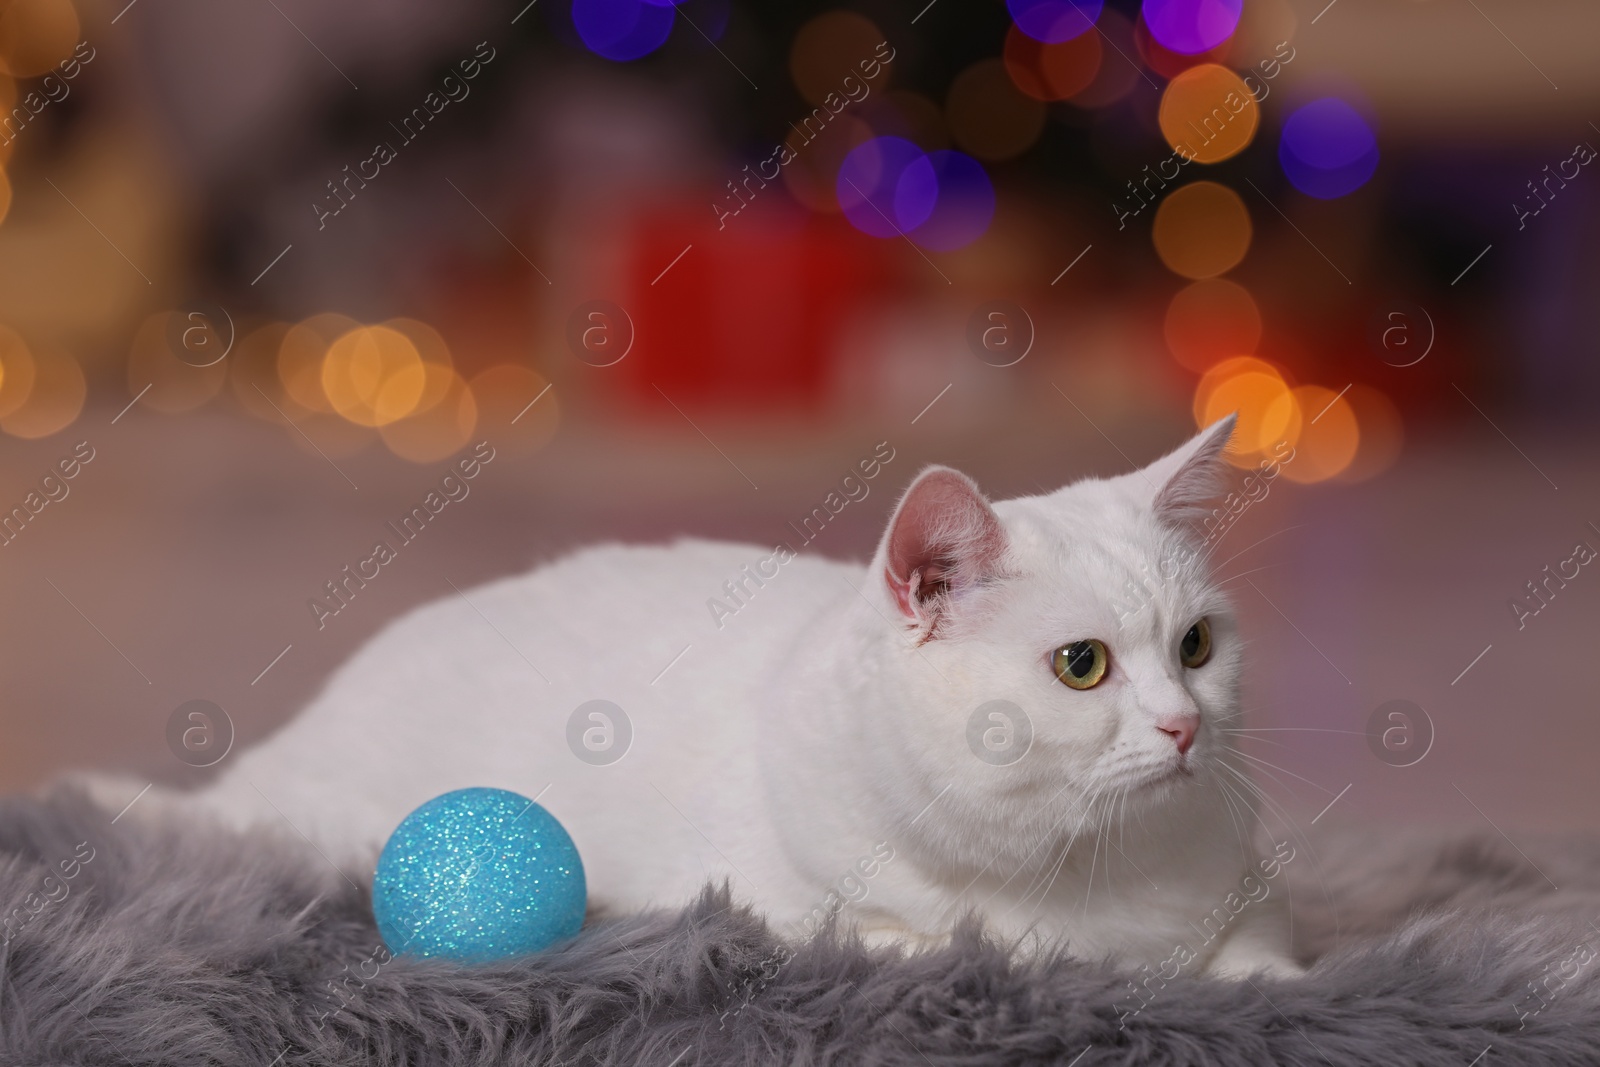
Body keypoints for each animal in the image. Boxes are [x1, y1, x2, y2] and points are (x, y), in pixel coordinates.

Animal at [187, 415, 1299, 979]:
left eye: (1197, 645)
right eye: (1081, 664)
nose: (1186, 723)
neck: (1089, 872)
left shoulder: (1249, 903)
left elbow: (1268, 965)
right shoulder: (810, 919)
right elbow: (969, 950)